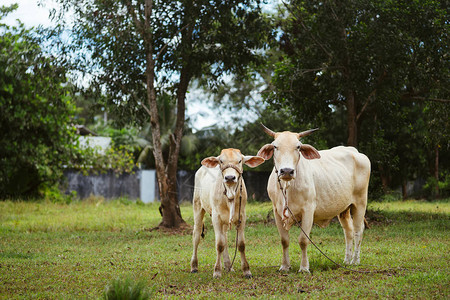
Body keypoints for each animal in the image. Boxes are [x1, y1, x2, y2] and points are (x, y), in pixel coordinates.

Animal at [189, 149, 264, 278]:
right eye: (221, 161)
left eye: (239, 161)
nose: (230, 177)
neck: (230, 193)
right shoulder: (216, 217)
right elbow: (219, 244)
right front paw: (217, 271)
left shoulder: (242, 217)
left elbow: (240, 244)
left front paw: (246, 270)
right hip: (197, 206)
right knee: (196, 235)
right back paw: (194, 266)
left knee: (225, 237)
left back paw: (228, 265)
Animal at [255, 124, 370, 272]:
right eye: (275, 146)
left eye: (298, 147)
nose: (286, 171)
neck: (288, 187)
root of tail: (354, 151)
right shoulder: (277, 211)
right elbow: (284, 240)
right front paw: (285, 266)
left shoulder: (308, 210)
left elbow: (303, 240)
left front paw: (304, 268)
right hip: (344, 208)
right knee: (348, 231)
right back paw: (347, 260)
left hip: (360, 202)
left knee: (358, 230)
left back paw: (355, 261)